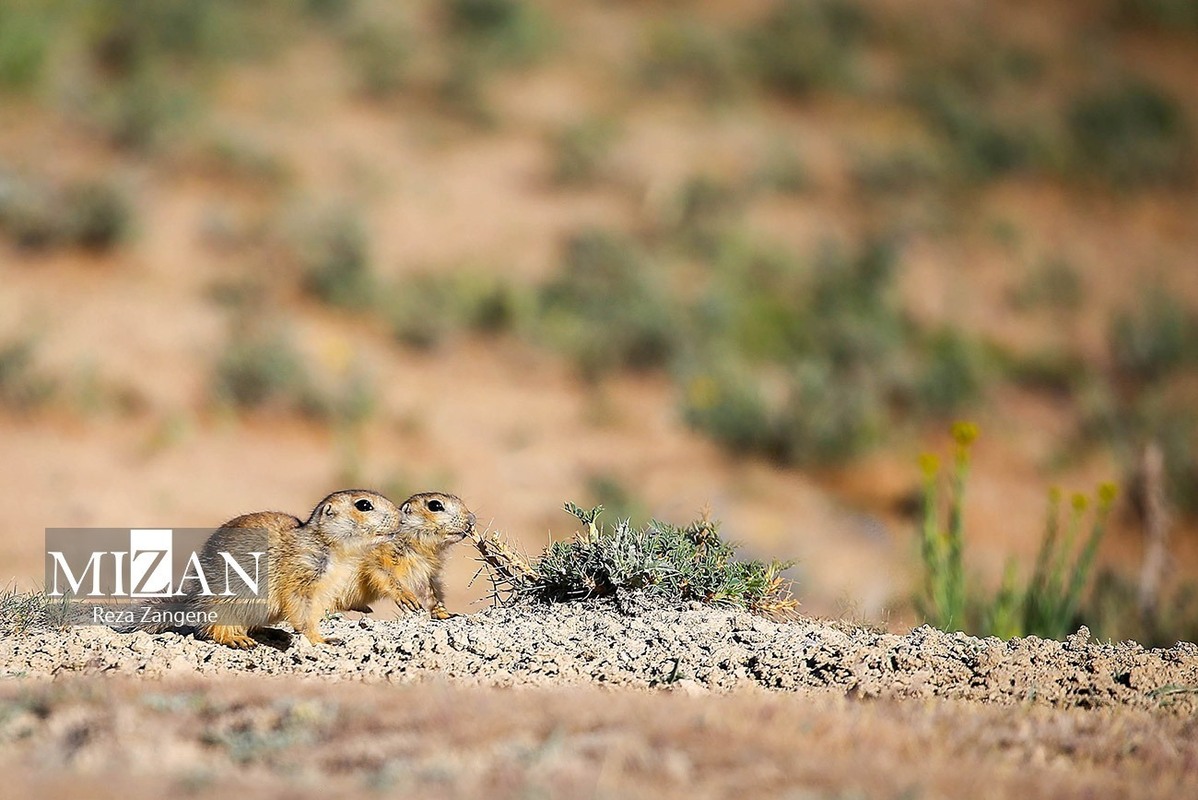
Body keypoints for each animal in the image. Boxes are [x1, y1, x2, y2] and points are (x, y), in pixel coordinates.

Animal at [141, 489, 406, 649]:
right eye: (364, 505)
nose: (401, 517)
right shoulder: (300, 573)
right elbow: (301, 610)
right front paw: (322, 640)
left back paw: (273, 633)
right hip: (222, 602)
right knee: (212, 627)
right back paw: (238, 639)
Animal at [335, 492, 476, 620]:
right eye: (435, 505)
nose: (472, 519)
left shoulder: (425, 573)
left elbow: (431, 593)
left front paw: (445, 614)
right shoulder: (379, 554)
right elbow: (381, 572)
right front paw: (407, 598)